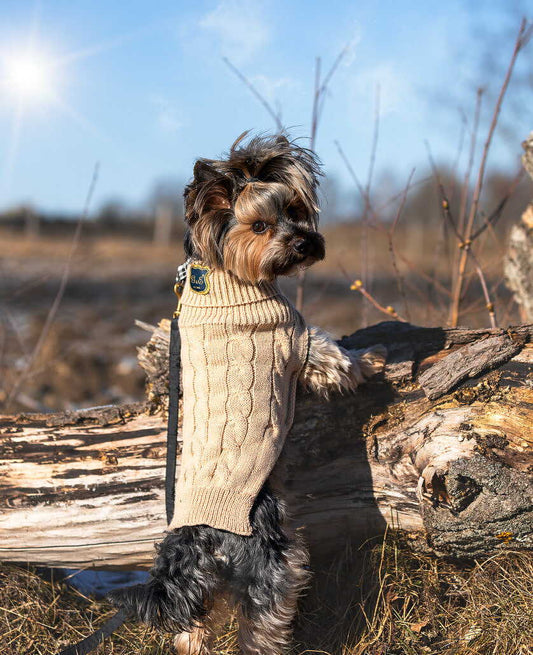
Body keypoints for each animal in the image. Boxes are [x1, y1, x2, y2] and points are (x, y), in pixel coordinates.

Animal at [108, 131, 384, 652]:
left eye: (296, 210)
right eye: (259, 226)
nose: (306, 241)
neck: (227, 280)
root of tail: (201, 540)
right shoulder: (299, 340)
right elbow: (337, 359)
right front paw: (372, 359)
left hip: (206, 589)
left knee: (191, 629)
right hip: (277, 563)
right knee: (263, 622)